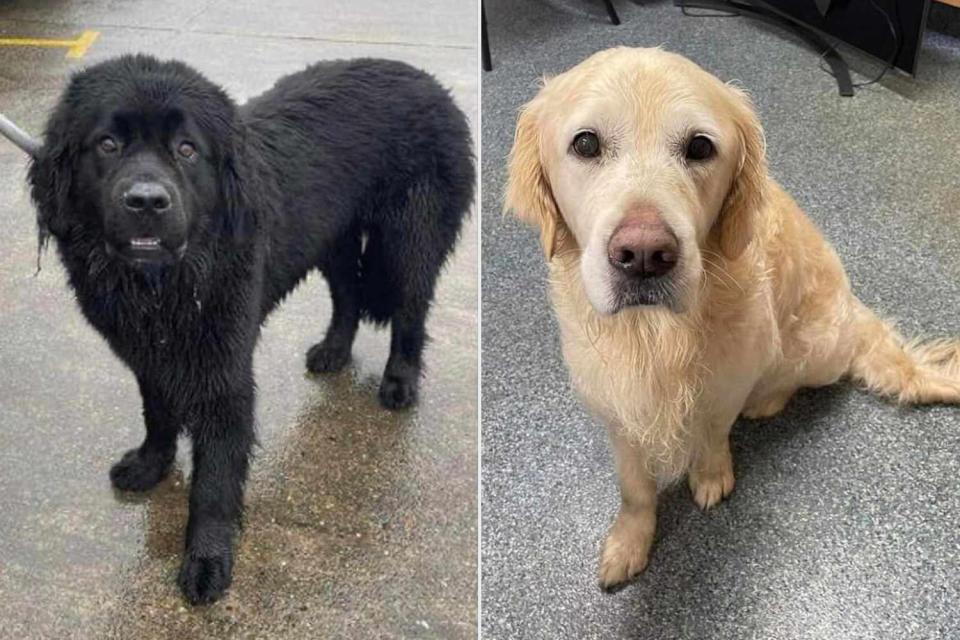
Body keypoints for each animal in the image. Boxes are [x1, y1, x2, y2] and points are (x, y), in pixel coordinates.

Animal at [30, 56, 476, 604]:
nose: (147, 201)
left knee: (410, 310)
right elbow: (157, 410)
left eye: (187, 149)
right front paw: (150, 464)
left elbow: (216, 478)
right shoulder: (148, 353)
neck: (165, 285)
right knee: (347, 295)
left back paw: (399, 382)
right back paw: (332, 352)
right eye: (107, 144)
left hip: (409, 236)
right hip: (332, 234)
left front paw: (207, 562)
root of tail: (429, 82)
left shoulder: (225, 373)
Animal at [502, 47, 960, 592]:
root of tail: (855, 310)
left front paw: (711, 476)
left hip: (815, 349)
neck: (656, 334)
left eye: (700, 147)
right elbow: (634, 488)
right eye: (586, 143)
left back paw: (768, 401)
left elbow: (713, 436)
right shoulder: (615, 404)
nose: (644, 255)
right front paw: (629, 542)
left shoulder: (728, 382)